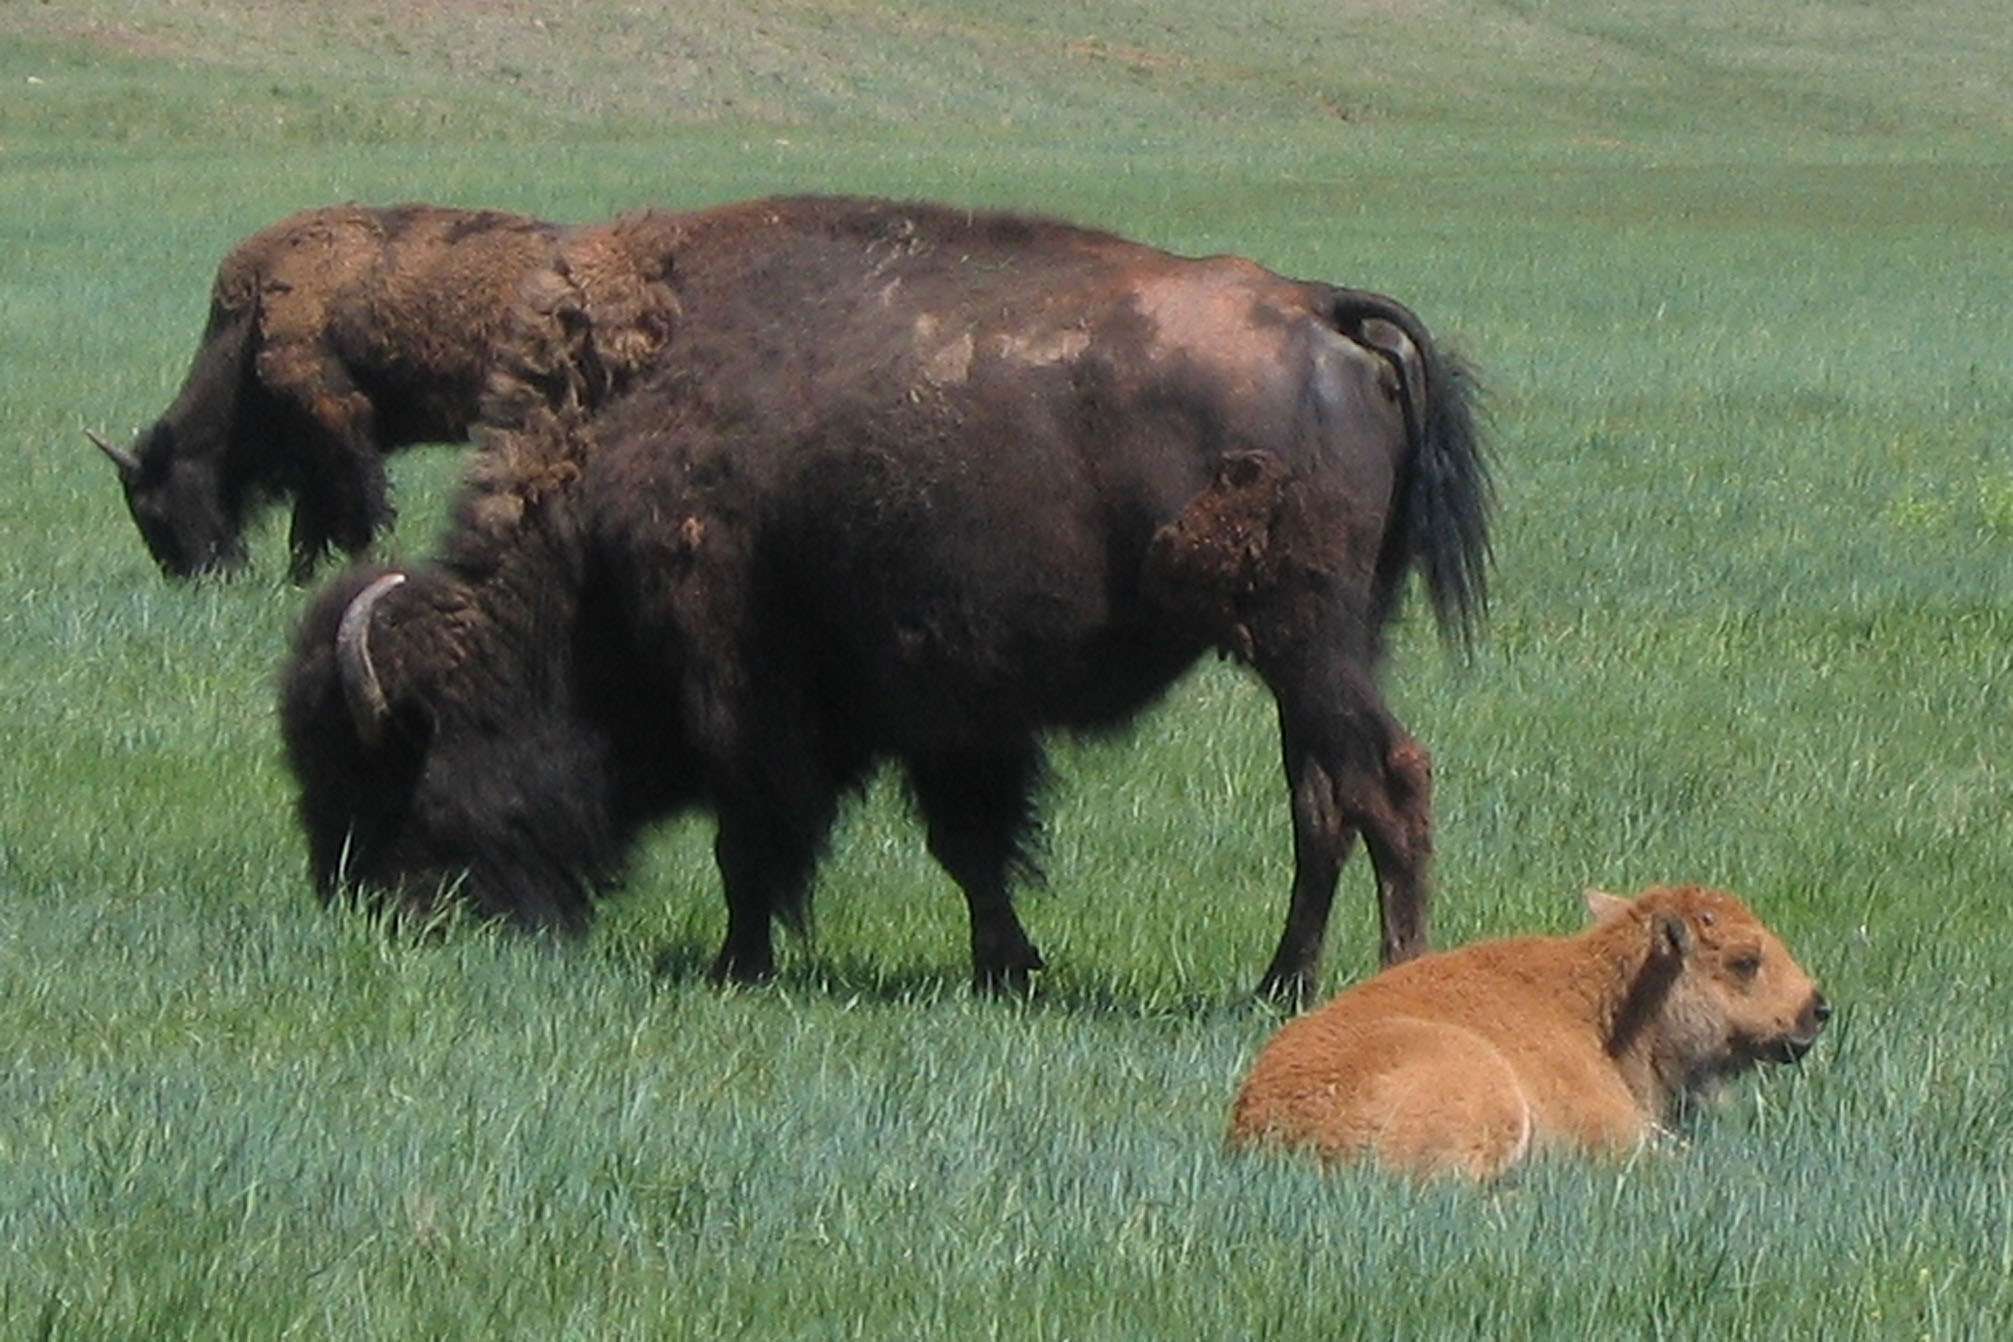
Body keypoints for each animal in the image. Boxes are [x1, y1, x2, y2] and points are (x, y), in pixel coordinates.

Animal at [92, 203, 561, 580]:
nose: (193, 576)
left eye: (152, 507)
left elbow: (357, 508)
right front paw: (300, 577)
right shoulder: (316, 452)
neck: (254, 317)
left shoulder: (338, 421)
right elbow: (311, 520)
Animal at [280, 195, 1490, 1000]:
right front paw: (1008, 970)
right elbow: (970, 844)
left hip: (1304, 641)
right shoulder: (953, 717)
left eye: (392, 765)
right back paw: (1278, 984)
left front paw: (736, 966)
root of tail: (1325, 315)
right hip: (1328, 645)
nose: (378, 910)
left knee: (1386, 782)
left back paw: (1392, 983)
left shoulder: (752, 695)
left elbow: (757, 839)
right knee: (1322, 804)